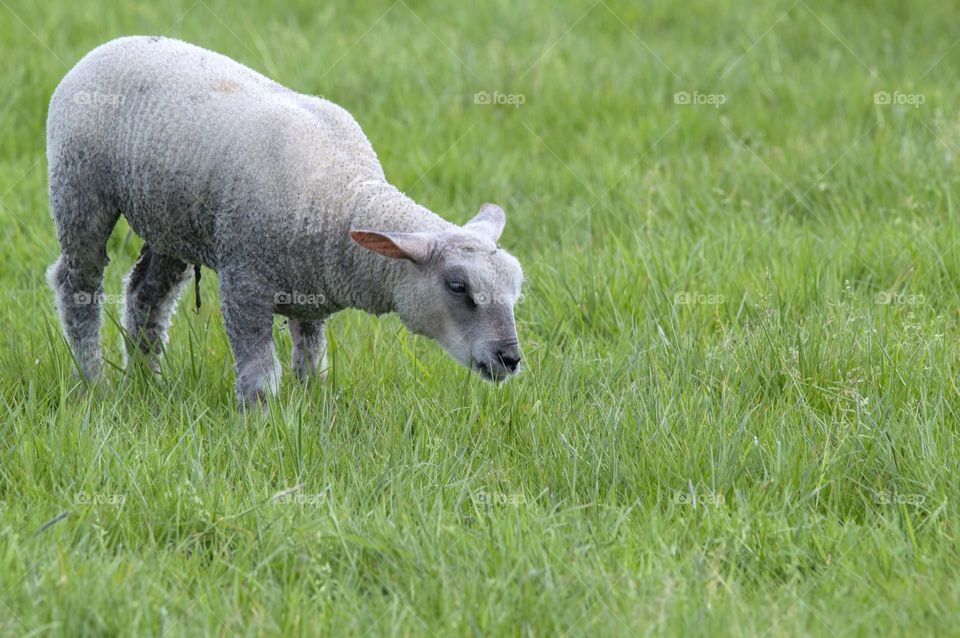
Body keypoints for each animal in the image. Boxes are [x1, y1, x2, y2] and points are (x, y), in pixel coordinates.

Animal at [46, 36, 524, 407]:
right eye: (457, 287)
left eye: (516, 289)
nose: (510, 359)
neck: (340, 194)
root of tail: (110, 44)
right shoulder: (244, 281)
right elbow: (259, 371)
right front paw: (259, 420)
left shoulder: (312, 287)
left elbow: (311, 357)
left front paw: (313, 403)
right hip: (78, 185)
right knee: (77, 285)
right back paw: (94, 382)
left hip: (169, 219)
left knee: (147, 294)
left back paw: (147, 379)